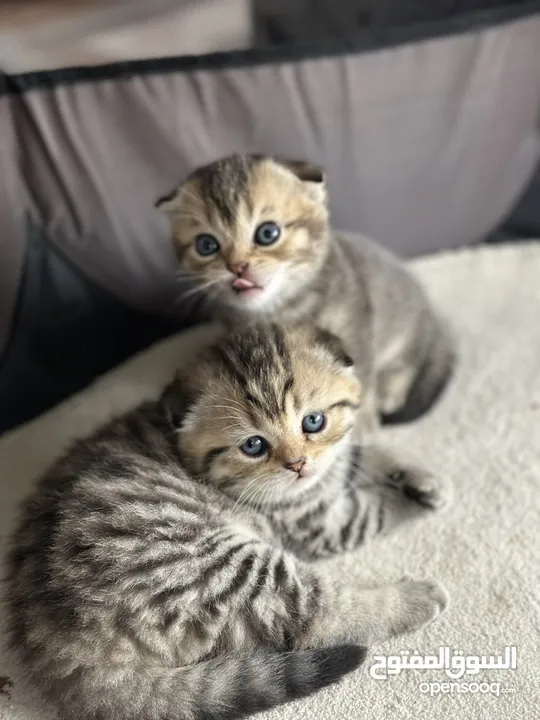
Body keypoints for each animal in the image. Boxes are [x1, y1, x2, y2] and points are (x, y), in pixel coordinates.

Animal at [6, 324, 450, 720]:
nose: (298, 465)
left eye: (314, 422)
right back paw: (415, 599)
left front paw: (416, 474)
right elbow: (373, 510)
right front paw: (413, 498)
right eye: (253, 445)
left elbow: (357, 453)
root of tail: (57, 651)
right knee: (318, 615)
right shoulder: (319, 521)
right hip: (224, 568)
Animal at [157, 153, 456, 434]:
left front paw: (362, 426)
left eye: (267, 233)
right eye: (206, 245)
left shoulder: (354, 336)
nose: (237, 267)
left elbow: (358, 382)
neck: (278, 310)